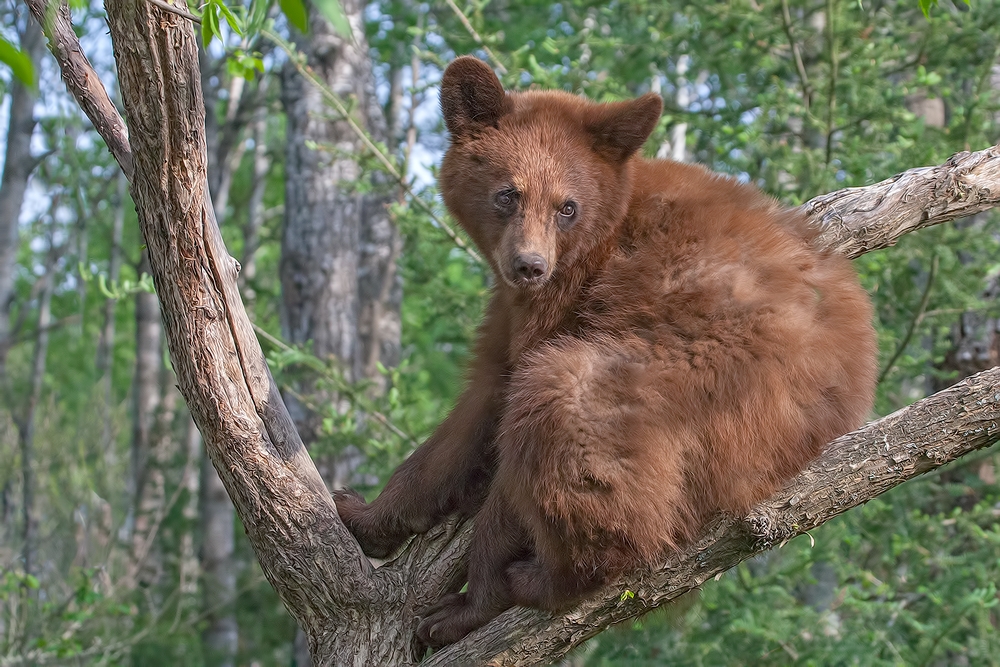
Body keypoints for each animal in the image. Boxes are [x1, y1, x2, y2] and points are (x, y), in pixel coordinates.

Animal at [334, 54, 876, 648]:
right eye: (508, 194)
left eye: (567, 207)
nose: (530, 265)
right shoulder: (510, 313)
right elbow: (471, 414)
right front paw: (364, 514)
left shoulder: (566, 299)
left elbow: (512, 428)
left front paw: (469, 600)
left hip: (702, 386)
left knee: (563, 406)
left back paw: (532, 581)